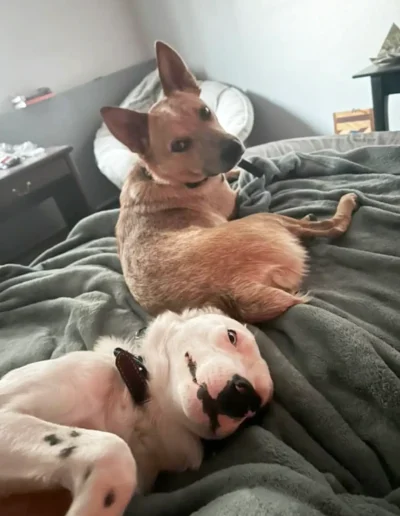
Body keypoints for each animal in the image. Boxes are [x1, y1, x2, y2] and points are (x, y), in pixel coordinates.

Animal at [100, 41, 356, 322]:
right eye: (179, 145)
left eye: (204, 111)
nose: (235, 149)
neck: (162, 179)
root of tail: (238, 290)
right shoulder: (232, 201)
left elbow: (233, 173)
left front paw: (235, 172)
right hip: (263, 219)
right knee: (332, 226)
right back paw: (341, 205)